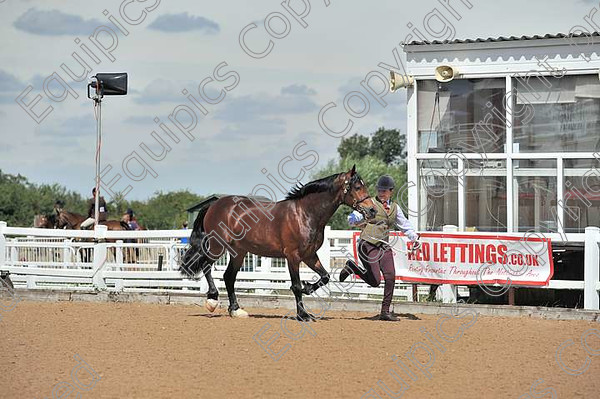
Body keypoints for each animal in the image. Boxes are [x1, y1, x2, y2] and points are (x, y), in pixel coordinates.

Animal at [179, 166, 376, 322]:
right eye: (357, 186)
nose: (372, 210)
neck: (305, 214)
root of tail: (213, 205)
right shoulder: (293, 256)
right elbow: (295, 286)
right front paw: (303, 315)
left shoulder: (309, 255)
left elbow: (325, 276)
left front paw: (308, 288)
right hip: (217, 246)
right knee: (206, 265)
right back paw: (212, 300)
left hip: (238, 252)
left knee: (229, 277)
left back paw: (236, 310)